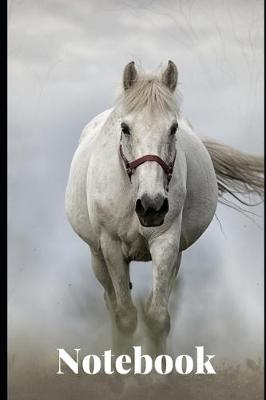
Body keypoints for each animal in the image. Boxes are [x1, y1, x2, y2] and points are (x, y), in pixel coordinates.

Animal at [65, 61, 264, 354]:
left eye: (173, 128)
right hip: (96, 256)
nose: (152, 205)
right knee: (112, 303)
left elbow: (157, 317)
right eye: (125, 128)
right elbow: (125, 316)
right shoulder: (111, 246)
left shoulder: (166, 242)